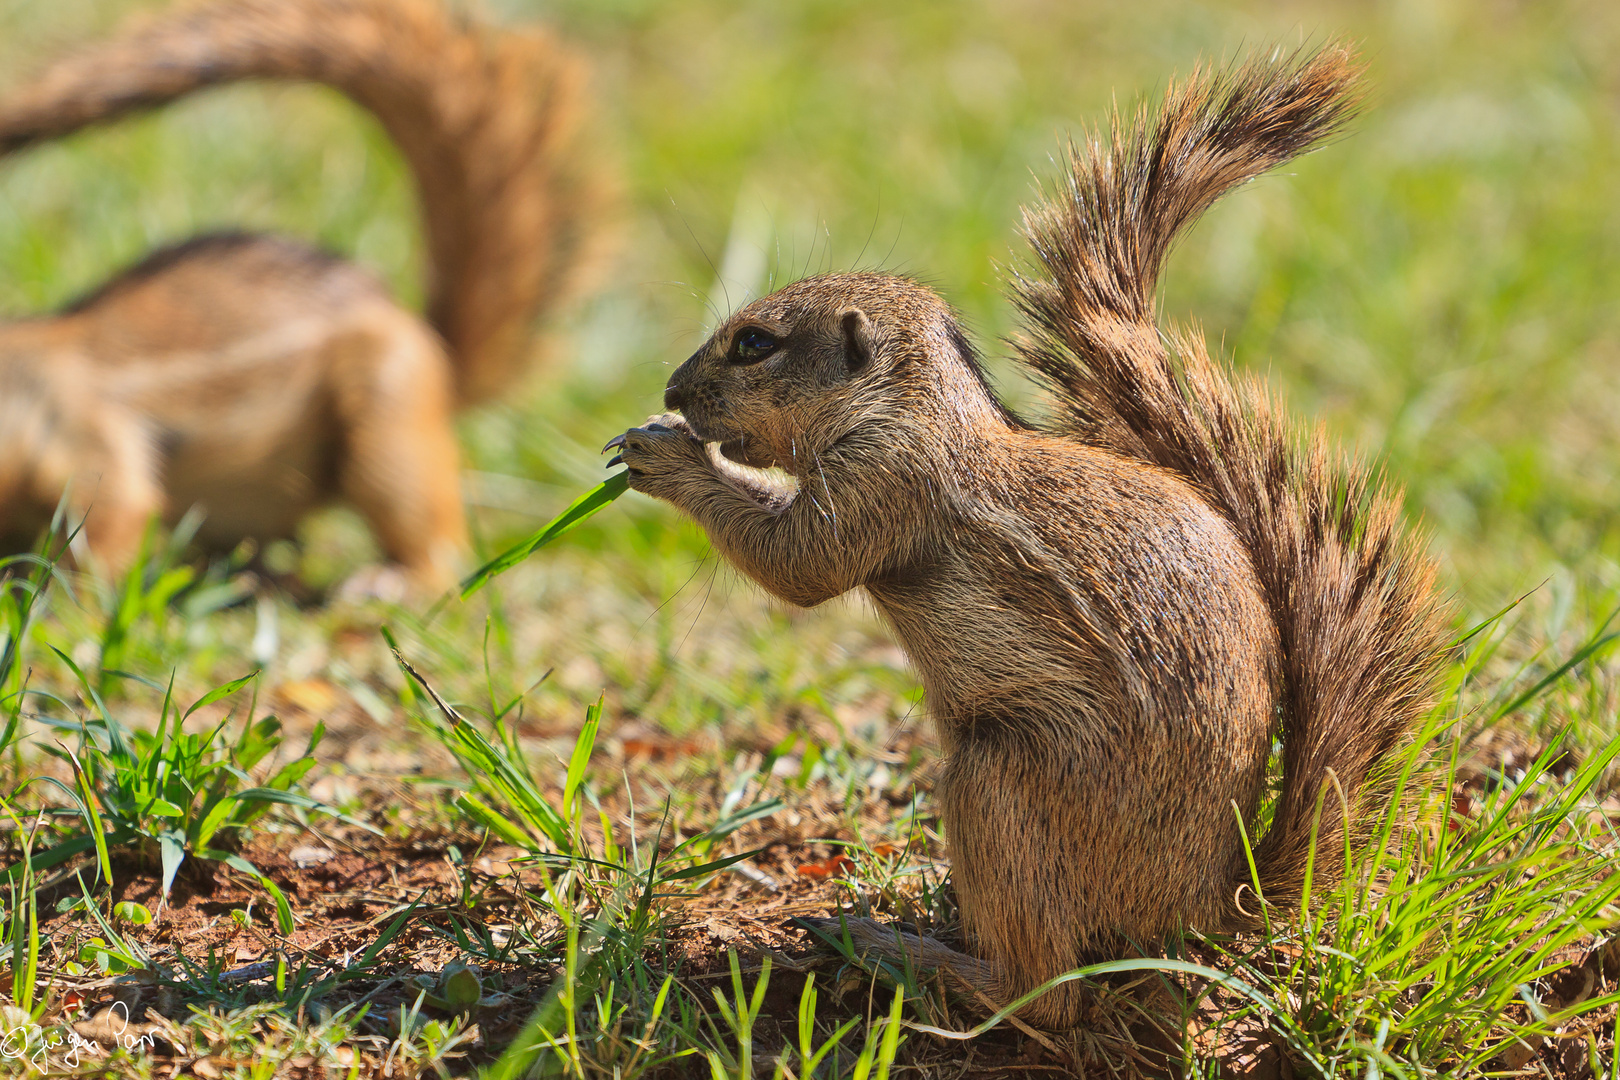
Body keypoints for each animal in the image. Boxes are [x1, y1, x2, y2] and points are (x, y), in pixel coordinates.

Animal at [0, 0, 605, 592]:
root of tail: (442, 356)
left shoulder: (84, 434)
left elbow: (107, 522)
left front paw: (52, 602)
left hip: (389, 428)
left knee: (432, 539)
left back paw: (391, 581)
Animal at [612, 44, 1451, 1029]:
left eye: (754, 343)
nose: (673, 391)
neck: (912, 406)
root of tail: (1210, 905)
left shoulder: (885, 483)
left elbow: (800, 566)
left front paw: (665, 457)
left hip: (999, 780)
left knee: (1044, 992)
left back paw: (900, 952)